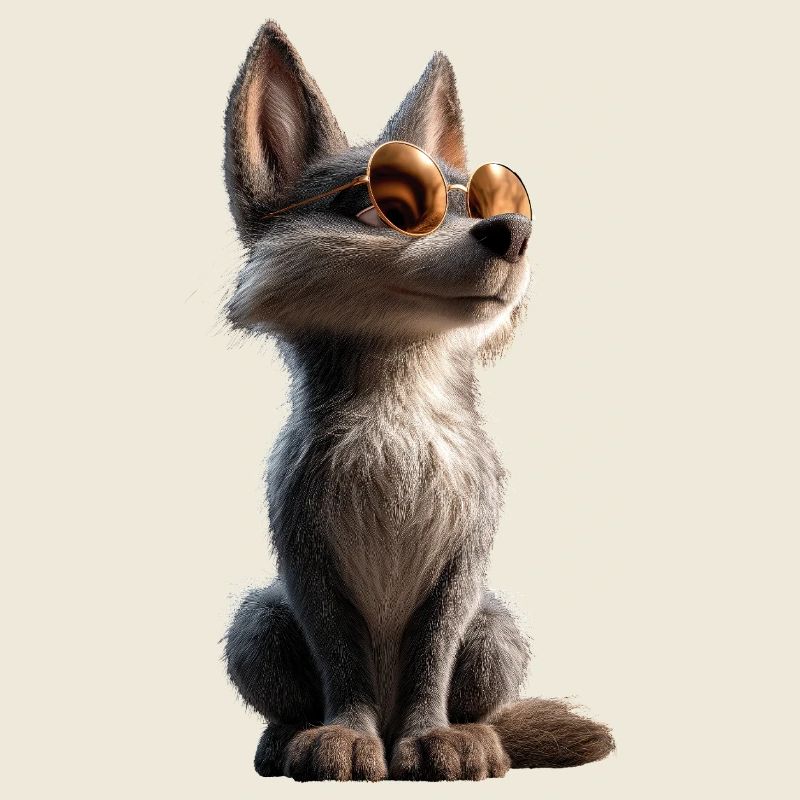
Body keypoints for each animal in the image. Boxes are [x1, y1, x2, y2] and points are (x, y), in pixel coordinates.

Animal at [222, 20, 614, 781]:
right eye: (386, 208)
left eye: (491, 202)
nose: (514, 233)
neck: (399, 420)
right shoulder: (303, 549)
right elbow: (339, 654)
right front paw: (344, 737)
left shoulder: (468, 551)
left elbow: (435, 647)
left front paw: (435, 739)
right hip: (255, 621)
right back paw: (288, 736)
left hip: (499, 630)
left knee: (482, 696)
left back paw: (477, 734)